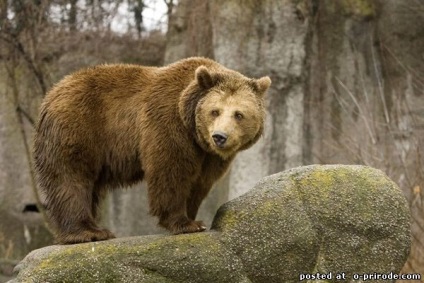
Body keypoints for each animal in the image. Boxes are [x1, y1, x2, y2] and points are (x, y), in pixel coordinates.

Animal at [34, 57, 272, 244]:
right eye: (215, 111)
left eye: (239, 114)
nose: (220, 136)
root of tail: (52, 93)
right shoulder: (167, 122)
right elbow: (171, 170)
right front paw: (185, 223)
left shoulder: (208, 155)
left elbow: (200, 181)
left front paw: (193, 216)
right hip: (77, 126)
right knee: (71, 177)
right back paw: (89, 232)